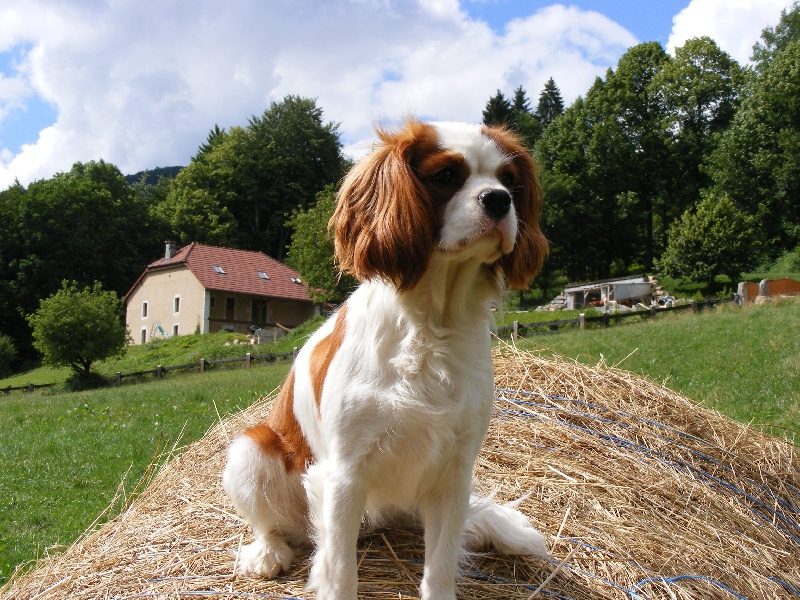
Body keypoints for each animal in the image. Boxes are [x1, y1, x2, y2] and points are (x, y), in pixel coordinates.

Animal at [223, 118, 552, 600]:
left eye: (510, 180)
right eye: (446, 175)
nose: (499, 199)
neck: (432, 323)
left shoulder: (454, 474)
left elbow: (440, 567)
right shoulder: (343, 476)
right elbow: (341, 572)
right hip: (250, 450)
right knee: (271, 525)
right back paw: (267, 553)